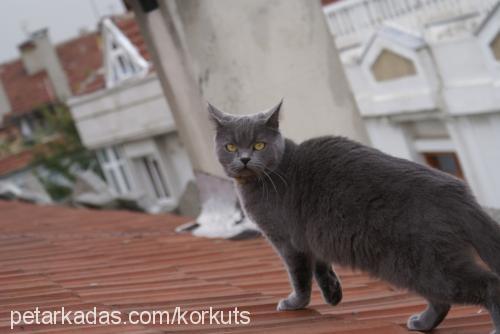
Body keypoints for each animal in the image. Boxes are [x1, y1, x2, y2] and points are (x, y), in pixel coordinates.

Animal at [206, 100, 500, 332]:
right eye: (230, 147)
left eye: (259, 144)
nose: (244, 159)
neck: (268, 177)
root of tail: (458, 192)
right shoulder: (311, 237)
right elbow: (321, 267)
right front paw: (333, 294)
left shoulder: (287, 241)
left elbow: (299, 276)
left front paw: (295, 303)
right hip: (418, 267)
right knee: (441, 300)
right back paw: (422, 323)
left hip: (424, 263)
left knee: (488, 285)